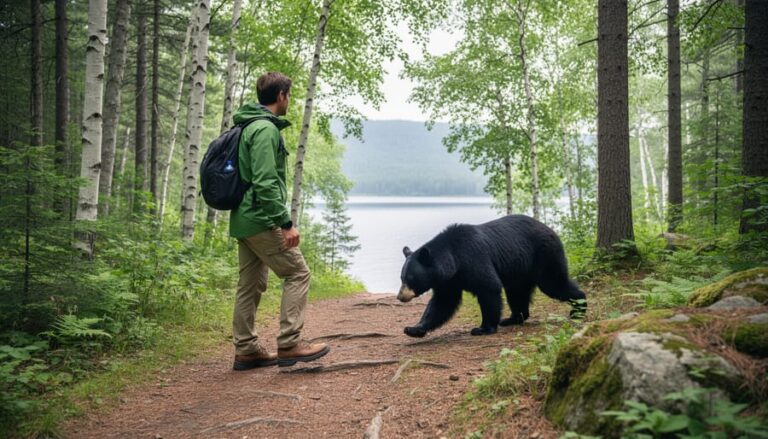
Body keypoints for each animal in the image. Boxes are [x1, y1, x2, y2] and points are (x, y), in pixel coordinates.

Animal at [397, 214, 586, 337]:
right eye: (401, 277)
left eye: (411, 278)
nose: (400, 296)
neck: (454, 260)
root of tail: (551, 230)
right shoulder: (449, 281)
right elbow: (442, 303)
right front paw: (413, 329)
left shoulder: (474, 259)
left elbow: (488, 287)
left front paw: (483, 328)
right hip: (520, 269)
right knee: (516, 293)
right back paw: (512, 318)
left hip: (544, 255)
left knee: (553, 283)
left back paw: (579, 307)